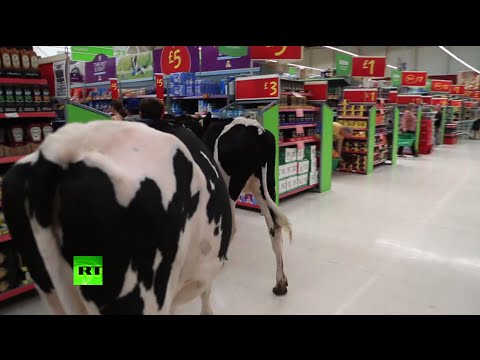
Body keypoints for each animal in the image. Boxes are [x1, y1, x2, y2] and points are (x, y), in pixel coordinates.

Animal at [178, 114, 292, 296]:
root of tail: (257, 130)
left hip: (231, 186)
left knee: (234, 226)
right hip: (266, 187)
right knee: (275, 228)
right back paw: (280, 282)